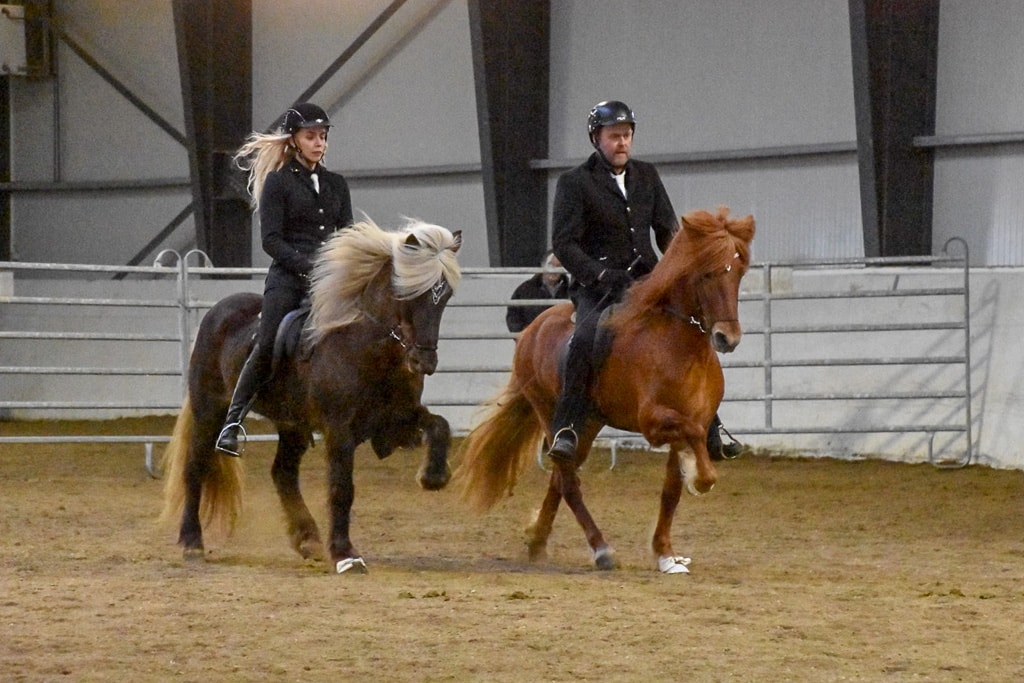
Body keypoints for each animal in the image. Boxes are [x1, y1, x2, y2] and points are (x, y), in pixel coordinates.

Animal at [161, 218, 462, 574]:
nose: (423, 362)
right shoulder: (339, 429)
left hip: (292, 425)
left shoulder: (398, 419)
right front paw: (346, 554)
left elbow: (440, 425)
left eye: (445, 296)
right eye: (408, 291)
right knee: (196, 467)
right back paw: (192, 542)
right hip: (210, 409)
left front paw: (434, 476)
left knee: (283, 473)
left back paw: (307, 539)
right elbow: (341, 487)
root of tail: (218, 311)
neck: (365, 346)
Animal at [454, 206, 754, 574]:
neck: (677, 345)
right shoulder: (655, 422)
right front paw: (700, 478)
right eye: (708, 273)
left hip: (587, 422)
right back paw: (600, 549)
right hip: (550, 413)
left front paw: (666, 554)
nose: (728, 338)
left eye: (738, 272)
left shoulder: (689, 420)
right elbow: (695, 442)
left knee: (560, 477)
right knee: (568, 481)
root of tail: (532, 329)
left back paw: (538, 541)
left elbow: (671, 490)